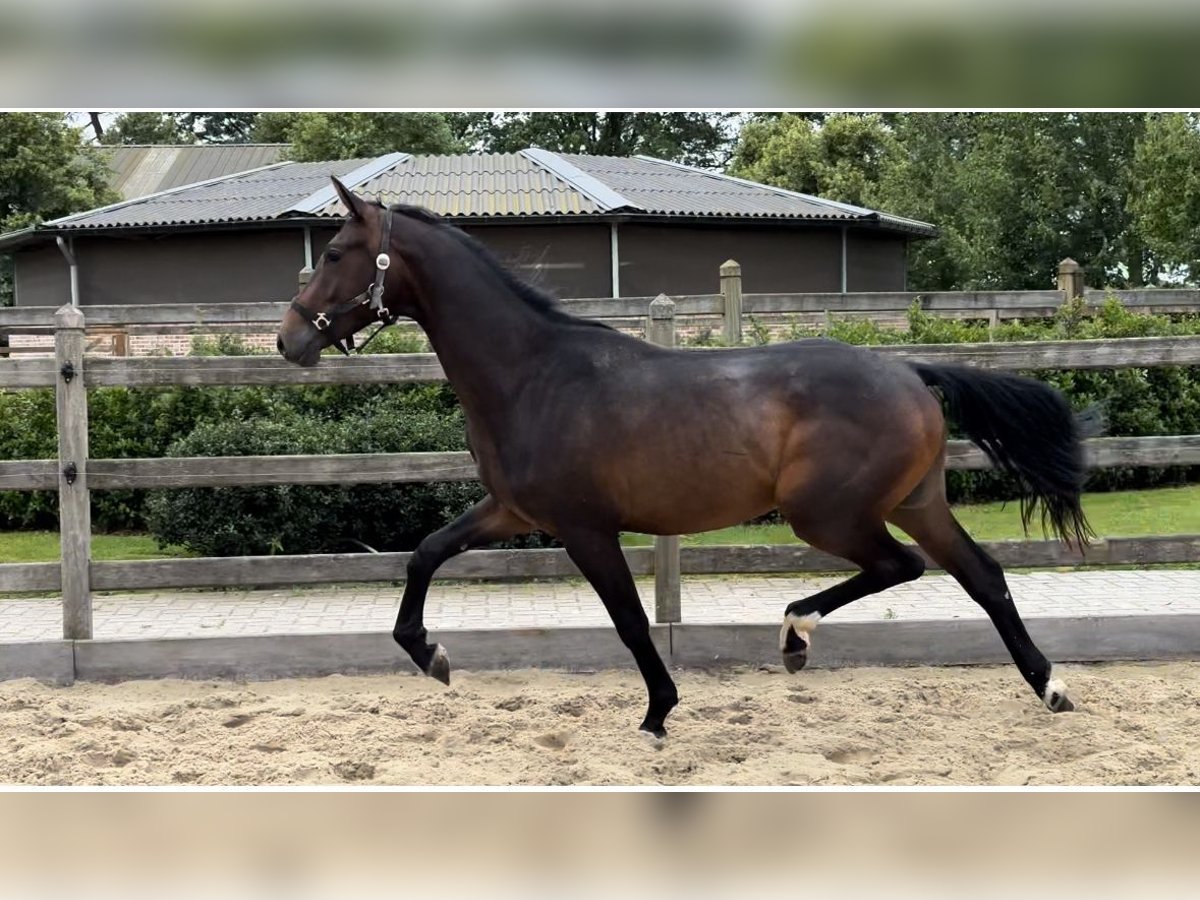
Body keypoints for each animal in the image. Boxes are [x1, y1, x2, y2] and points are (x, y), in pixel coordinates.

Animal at [276, 177, 1094, 739]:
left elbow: (631, 621)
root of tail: (910, 374)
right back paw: (1049, 687)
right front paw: (431, 656)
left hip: (827, 515)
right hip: (917, 503)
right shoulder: (511, 511)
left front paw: (658, 713)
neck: (535, 374)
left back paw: (795, 632)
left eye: (338, 253)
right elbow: (424, 552)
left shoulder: (585, 529)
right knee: (982, 576)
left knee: (902, 567)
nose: (289, 341)